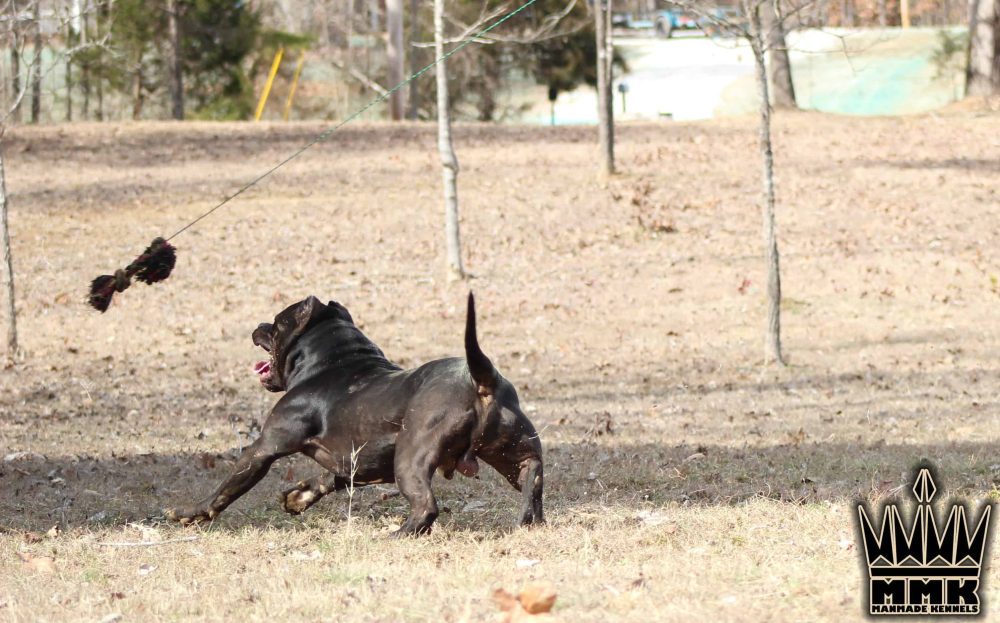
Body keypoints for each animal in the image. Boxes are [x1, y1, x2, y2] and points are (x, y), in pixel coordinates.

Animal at [164, 294, 544, 536]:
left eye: (276, 323)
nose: (258, 324)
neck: (334, 360)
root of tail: (482, 380)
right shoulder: (362, 464)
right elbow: (329, 478)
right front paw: (299, 497)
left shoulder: (264, 447)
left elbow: (224, 491)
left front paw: (188, 514)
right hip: (515, 452)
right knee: (533, 479)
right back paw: (530, 521)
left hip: (411, 458)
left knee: (426, 507)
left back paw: (397, 535)